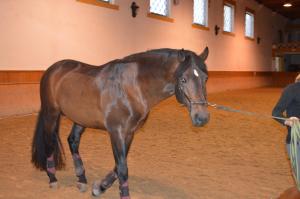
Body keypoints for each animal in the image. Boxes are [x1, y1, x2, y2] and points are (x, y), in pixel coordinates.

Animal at [30, 47, 209, 198]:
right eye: (183, 79)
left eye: (205, 78)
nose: (202, 117)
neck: (133, 87)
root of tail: (53, 69)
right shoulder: (116, 132)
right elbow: (123, 169)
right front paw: (122, 194)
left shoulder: (129, 133)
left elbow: (118, 165)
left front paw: (100, 187)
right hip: (51, 114)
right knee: (49, 142)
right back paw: (52, 178)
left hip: (80, 118)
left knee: (73, 141)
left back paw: (81, 179)